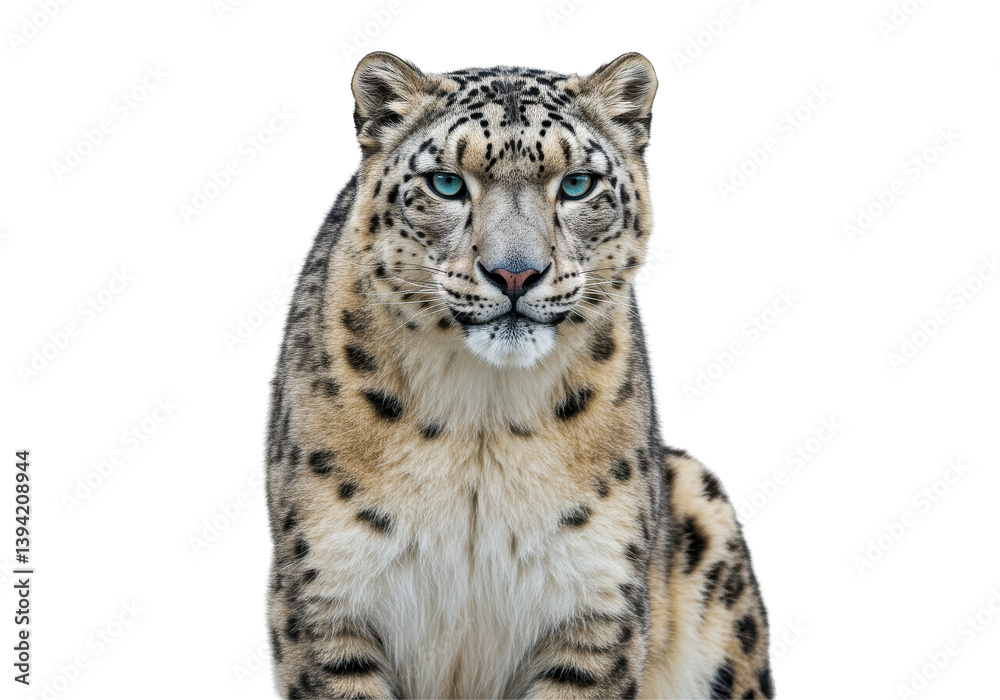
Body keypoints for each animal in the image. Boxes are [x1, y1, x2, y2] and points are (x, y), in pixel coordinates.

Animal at [265, 51, 774, 699]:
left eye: (577, 183)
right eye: (447, 183)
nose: (514, 273)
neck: (482, 419)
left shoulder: (595, 602)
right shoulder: (328, 596)